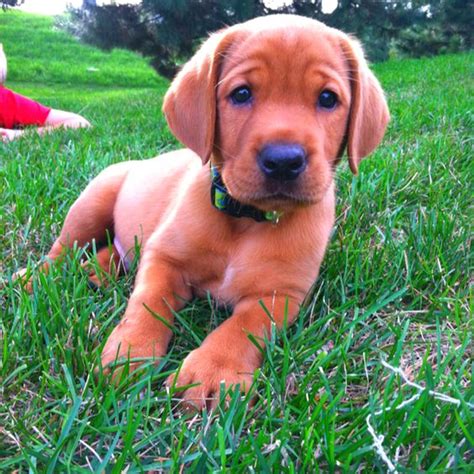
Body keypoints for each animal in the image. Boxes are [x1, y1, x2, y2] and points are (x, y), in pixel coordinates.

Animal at [19, 14, 388, 408]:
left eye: (328, 98)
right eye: (241, 94)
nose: (283, 161)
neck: (246, 219)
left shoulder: (280, 294)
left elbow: (243, 327)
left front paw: (213, 370)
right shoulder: (164, 257)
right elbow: (147, 301)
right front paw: (130, 351)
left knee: (114, 251)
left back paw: (96, 271)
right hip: (93, 202)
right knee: (64, 249)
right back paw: (35, 277)